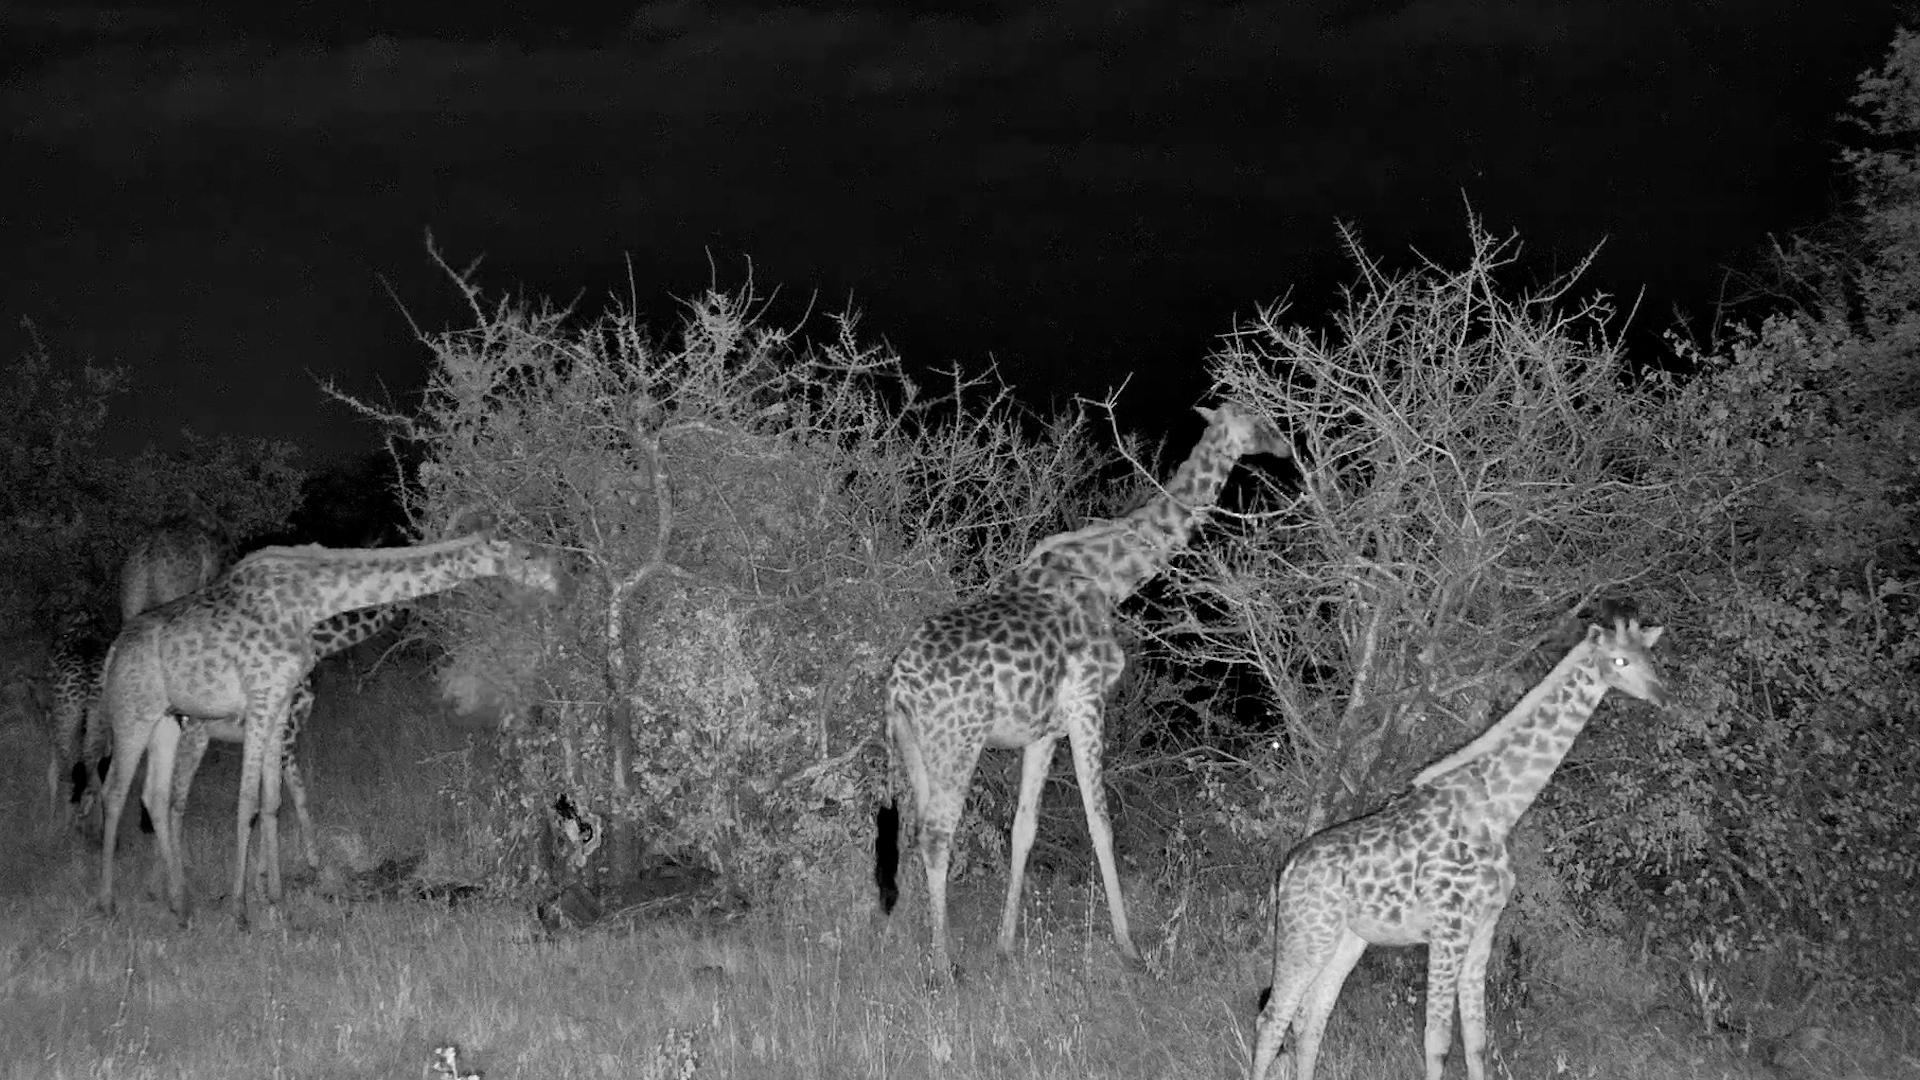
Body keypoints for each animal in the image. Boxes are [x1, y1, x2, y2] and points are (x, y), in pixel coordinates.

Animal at [95, 528, 564, 927]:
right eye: (526, 555)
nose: (559, 579)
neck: (311, 602)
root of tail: (113, 651)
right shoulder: (262, 696)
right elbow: (248, 802)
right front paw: (242, 910)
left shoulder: (279, 705)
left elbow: (272, 802)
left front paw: (277, 903)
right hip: (132, 713)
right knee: (116, 791)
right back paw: (109, 903)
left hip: (165, 722)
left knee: (155, 796)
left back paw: (179, 904)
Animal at [878, 403, 1289, 975]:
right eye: (1260, 420)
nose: (1287, 448)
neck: (1111, 575)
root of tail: (899, 684)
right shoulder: (1088, 703)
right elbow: (1101, 822)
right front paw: (1129, 947)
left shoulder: (1043, 731)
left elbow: (1024, 827)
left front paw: (1006, 945)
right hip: (957, 740)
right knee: (938, 832)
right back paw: (943, 965)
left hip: (914, 744)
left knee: (914, 828)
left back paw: (901, 940)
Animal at [1248, 617, 1672, 1080]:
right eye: (1620, 660)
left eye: (1651, 657)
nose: (1662, 694)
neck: (1497, 811)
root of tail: (1289, 869)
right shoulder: (1448, 929)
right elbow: (1437, 1039)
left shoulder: (1483, 928)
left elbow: (1476, 1038)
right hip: (1307, 933)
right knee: (1272, 1018)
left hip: (1346, 938)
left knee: (1312, 1016)